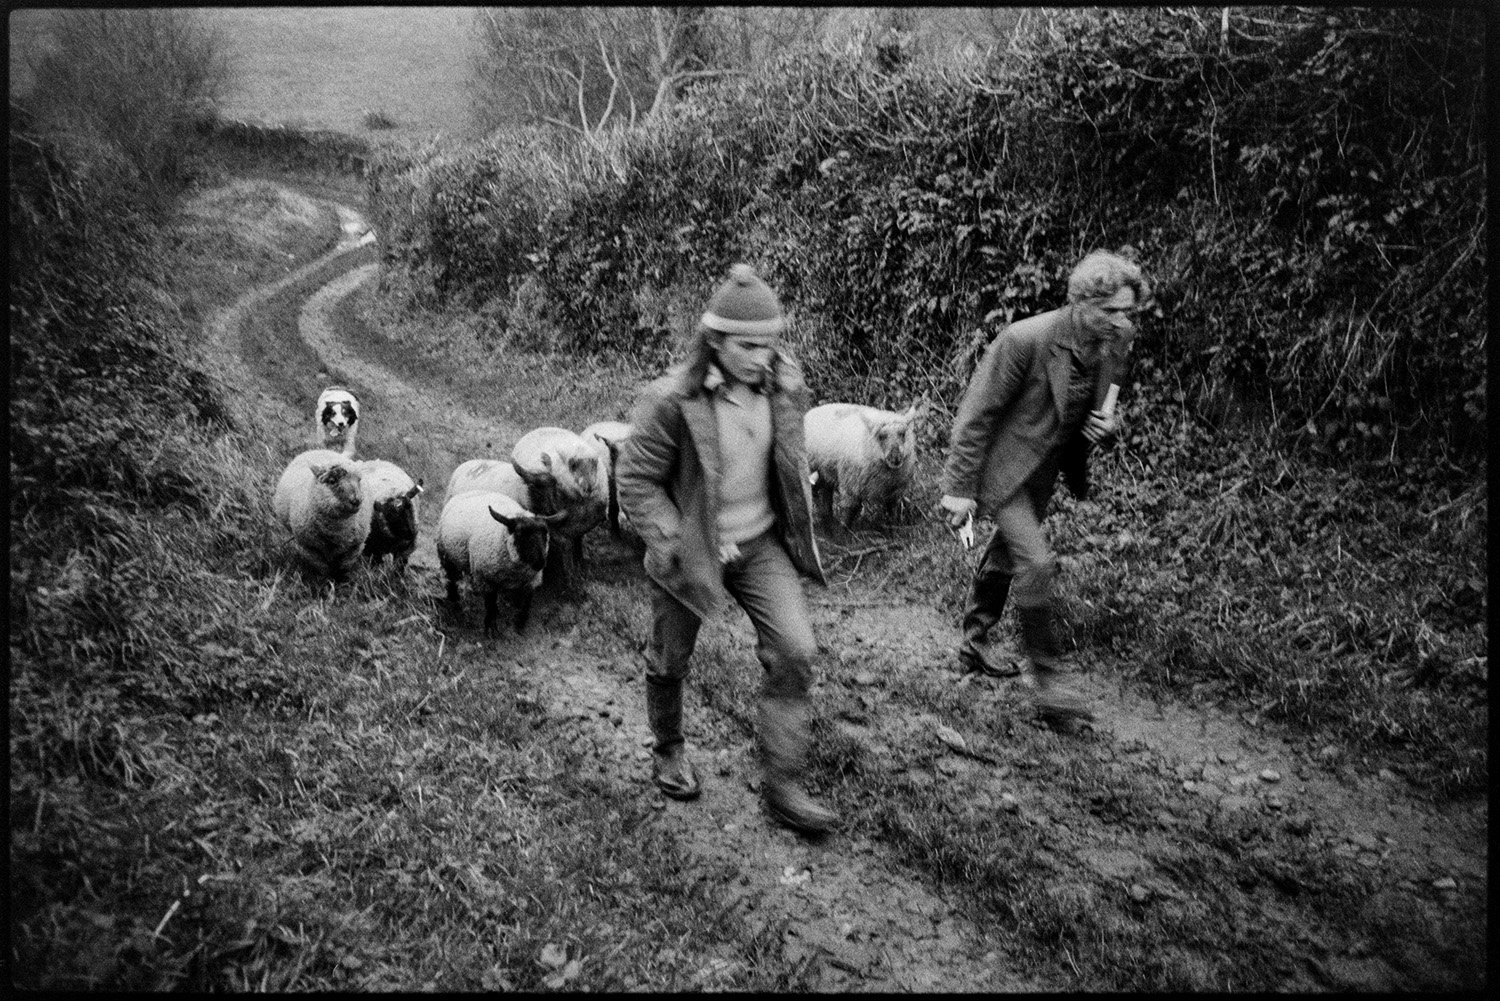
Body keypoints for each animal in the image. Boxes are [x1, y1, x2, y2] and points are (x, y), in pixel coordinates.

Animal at [273, 447, 372, 588]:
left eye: (359, 480)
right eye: (332, 480)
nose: (356, 501)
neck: (335, 531)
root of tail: (319, 449)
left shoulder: (354, 548)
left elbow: (344, 569)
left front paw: (344, 585)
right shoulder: (310, 549)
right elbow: (322, 570)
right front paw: (324, 585)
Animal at [810, 402, 924, 537]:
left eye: (902, 434)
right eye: (881, 436)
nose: (895, 458)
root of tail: (814, 410)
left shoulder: (893, 491)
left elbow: (892, 511)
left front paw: (893, 533)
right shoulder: (851, 486)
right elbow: (849, 512)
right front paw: (842, 536)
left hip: (826, 475)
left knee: (825, 499)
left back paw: (828, 525)